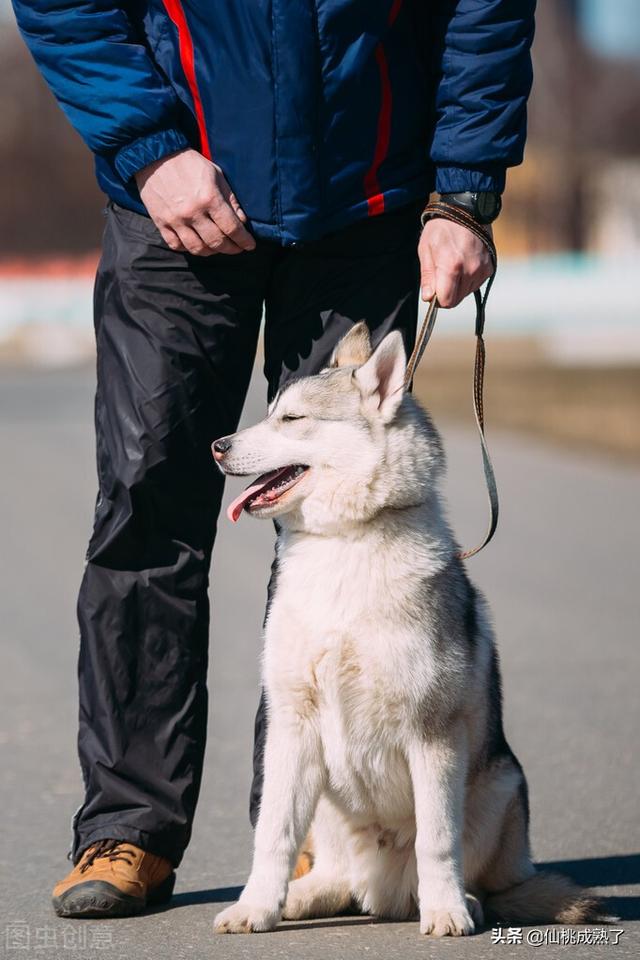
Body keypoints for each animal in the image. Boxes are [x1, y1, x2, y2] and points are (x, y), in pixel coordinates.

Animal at [211, 324, 604, 936]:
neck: (344, 544)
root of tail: (385, 892)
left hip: (500, 785)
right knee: (337, 878)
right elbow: (273, 834)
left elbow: (438, 841)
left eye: (292, 420)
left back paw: (462, 901)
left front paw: (446, 913)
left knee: (473, 879)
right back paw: (300, 897)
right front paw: (256, 908)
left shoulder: (431, 734)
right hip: (325, 801)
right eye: (271, 412)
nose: (218, 446)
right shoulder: (291, 726)